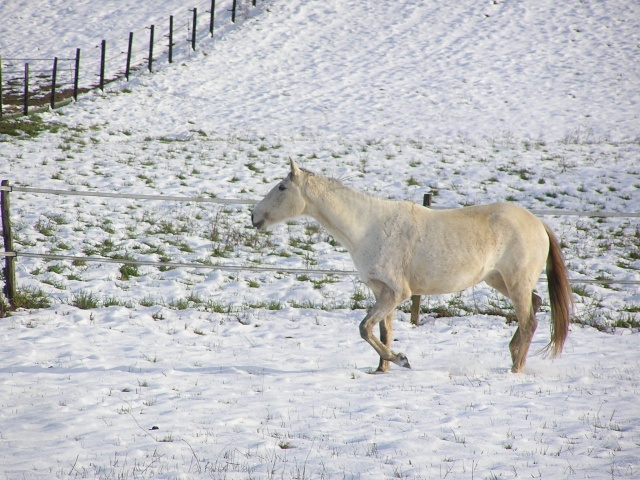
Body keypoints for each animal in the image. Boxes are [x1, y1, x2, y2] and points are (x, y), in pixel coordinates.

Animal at [251, 159, 576, 374]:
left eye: (282, 187)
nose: (254, 217)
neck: (368, 226)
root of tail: (538, 223)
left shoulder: (397, 293)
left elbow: (364, 328)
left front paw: (401, 360)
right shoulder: (381, 292)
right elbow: (382, 331)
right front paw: (382, 369)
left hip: (515, 281)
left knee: (529, 320)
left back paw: (516, 369)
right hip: (499, 280)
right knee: (534, 305)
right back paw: (511, 355)